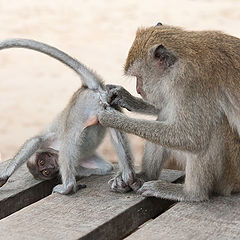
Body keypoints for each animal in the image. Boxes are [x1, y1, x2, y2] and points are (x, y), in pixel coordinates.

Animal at [98, 23, 240, 202]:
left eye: (139, 76)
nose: (138, 90)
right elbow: (165, 105)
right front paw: (124, 97)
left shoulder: (190, 84)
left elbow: (191, 137)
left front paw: (113, 118)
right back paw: (144, 176)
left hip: (230, 176)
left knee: (212, 131)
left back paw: (191, 194)